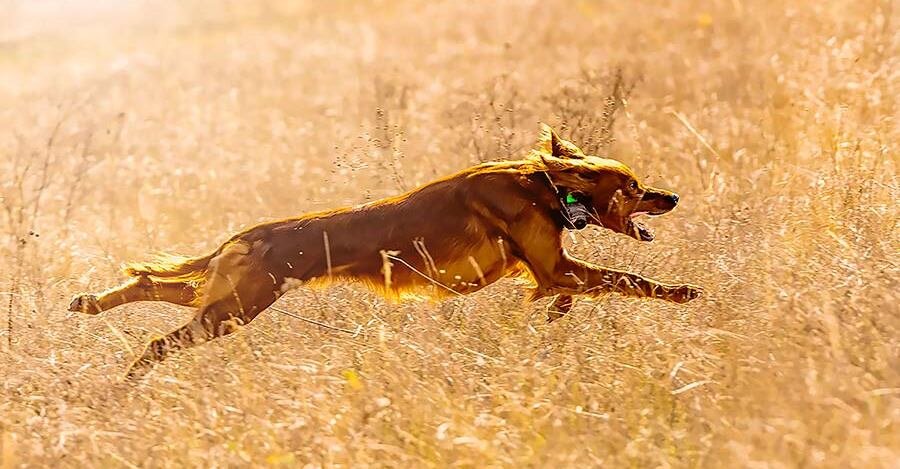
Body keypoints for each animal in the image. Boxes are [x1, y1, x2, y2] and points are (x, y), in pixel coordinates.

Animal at [70, 124, 704, 376]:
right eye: (634, 186)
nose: (672, 196)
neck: (541, 185)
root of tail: (243, 235)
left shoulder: (549, 269)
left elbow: (574, 290)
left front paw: (552, 315)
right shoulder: (554, 264)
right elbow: (627, 280)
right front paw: (683, 292)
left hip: (227, 298)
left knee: (152, 284)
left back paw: (89, 304)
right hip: (235, 308)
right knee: (157, 339)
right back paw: (129, 375)